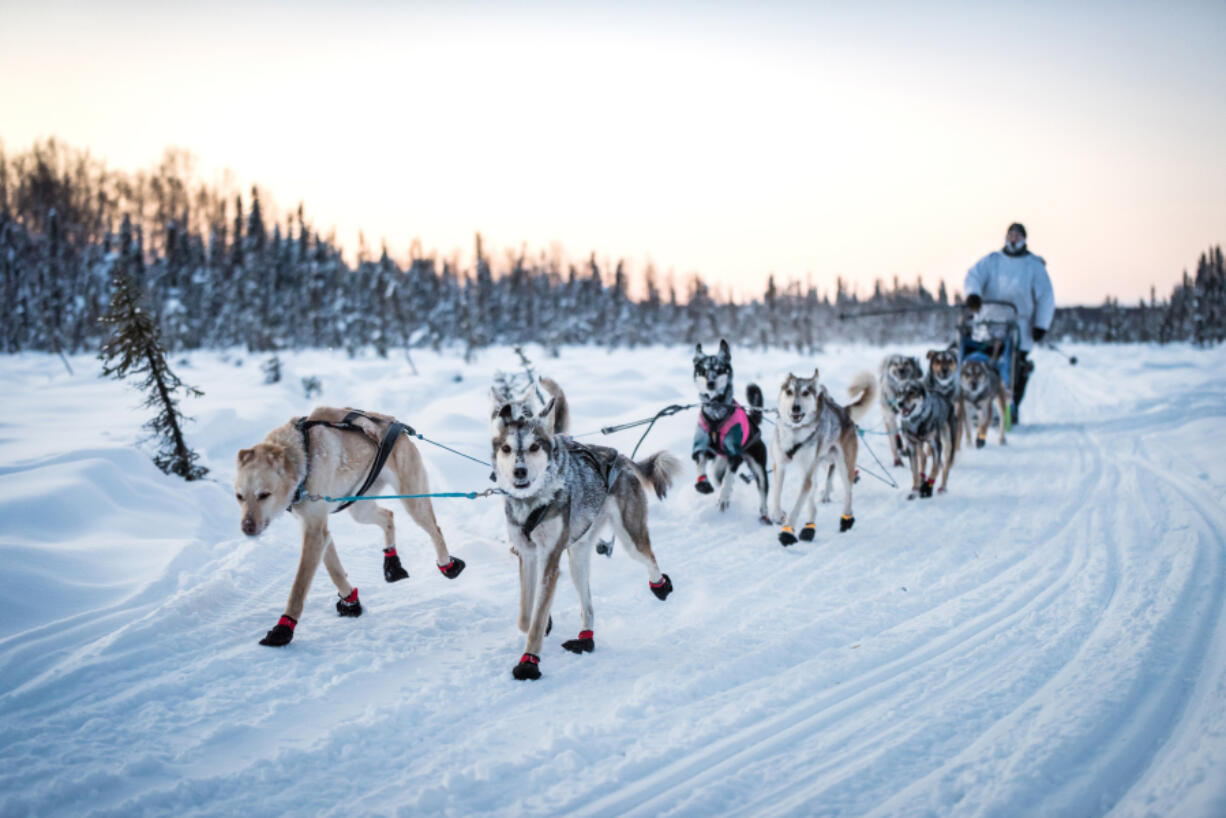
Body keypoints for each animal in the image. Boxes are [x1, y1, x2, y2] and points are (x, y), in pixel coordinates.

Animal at [234, 407, 463, 647]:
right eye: (239, 496)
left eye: (264, 495)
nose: (247, 527)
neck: (302, 457)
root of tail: (397, 427)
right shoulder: (318, 531)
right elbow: (335, 571)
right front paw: (351, 602)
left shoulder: (314, 532)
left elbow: (298, 587)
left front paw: (283, 628)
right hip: (360, 509)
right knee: (388, 516)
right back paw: (391, 563)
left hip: (413, 502)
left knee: (435, 530)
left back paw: (447, 565)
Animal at [490, 397, 681, 676]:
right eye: (506, 448)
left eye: (534, 446)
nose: (519, 471)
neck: (532, 501)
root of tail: (619, 457)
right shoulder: (527, 555)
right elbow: (527, 617)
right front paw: (545, 622)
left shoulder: (549, 560)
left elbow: (535, 622)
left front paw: (528, 663)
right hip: (576, 558)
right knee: (588, 607)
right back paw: (585, 639)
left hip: (629, 538)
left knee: (650, 558)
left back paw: (661, 585)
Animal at [769, 370, 877, 544]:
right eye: (789, 392)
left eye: (805, 392)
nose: (795, 407)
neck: (795, 433)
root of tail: (843, 411)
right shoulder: (780, 464)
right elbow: (777, 493)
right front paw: (777, 514)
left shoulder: (806, 471)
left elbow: (797, 506)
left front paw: (788, 531)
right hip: (817, 467)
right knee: (812, 501)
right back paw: (809, 528)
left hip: (843, 466)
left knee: (848, 492)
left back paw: (846, 519)